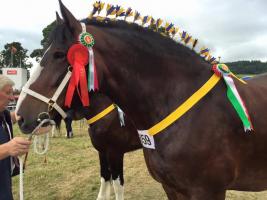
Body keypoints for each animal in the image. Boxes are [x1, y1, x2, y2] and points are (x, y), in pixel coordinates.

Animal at [16, 0, 267, 199]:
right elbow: (105, 181)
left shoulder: (117, 153)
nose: (20, 116)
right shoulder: (163, 183)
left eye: (59, 54)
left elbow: (117, 185)